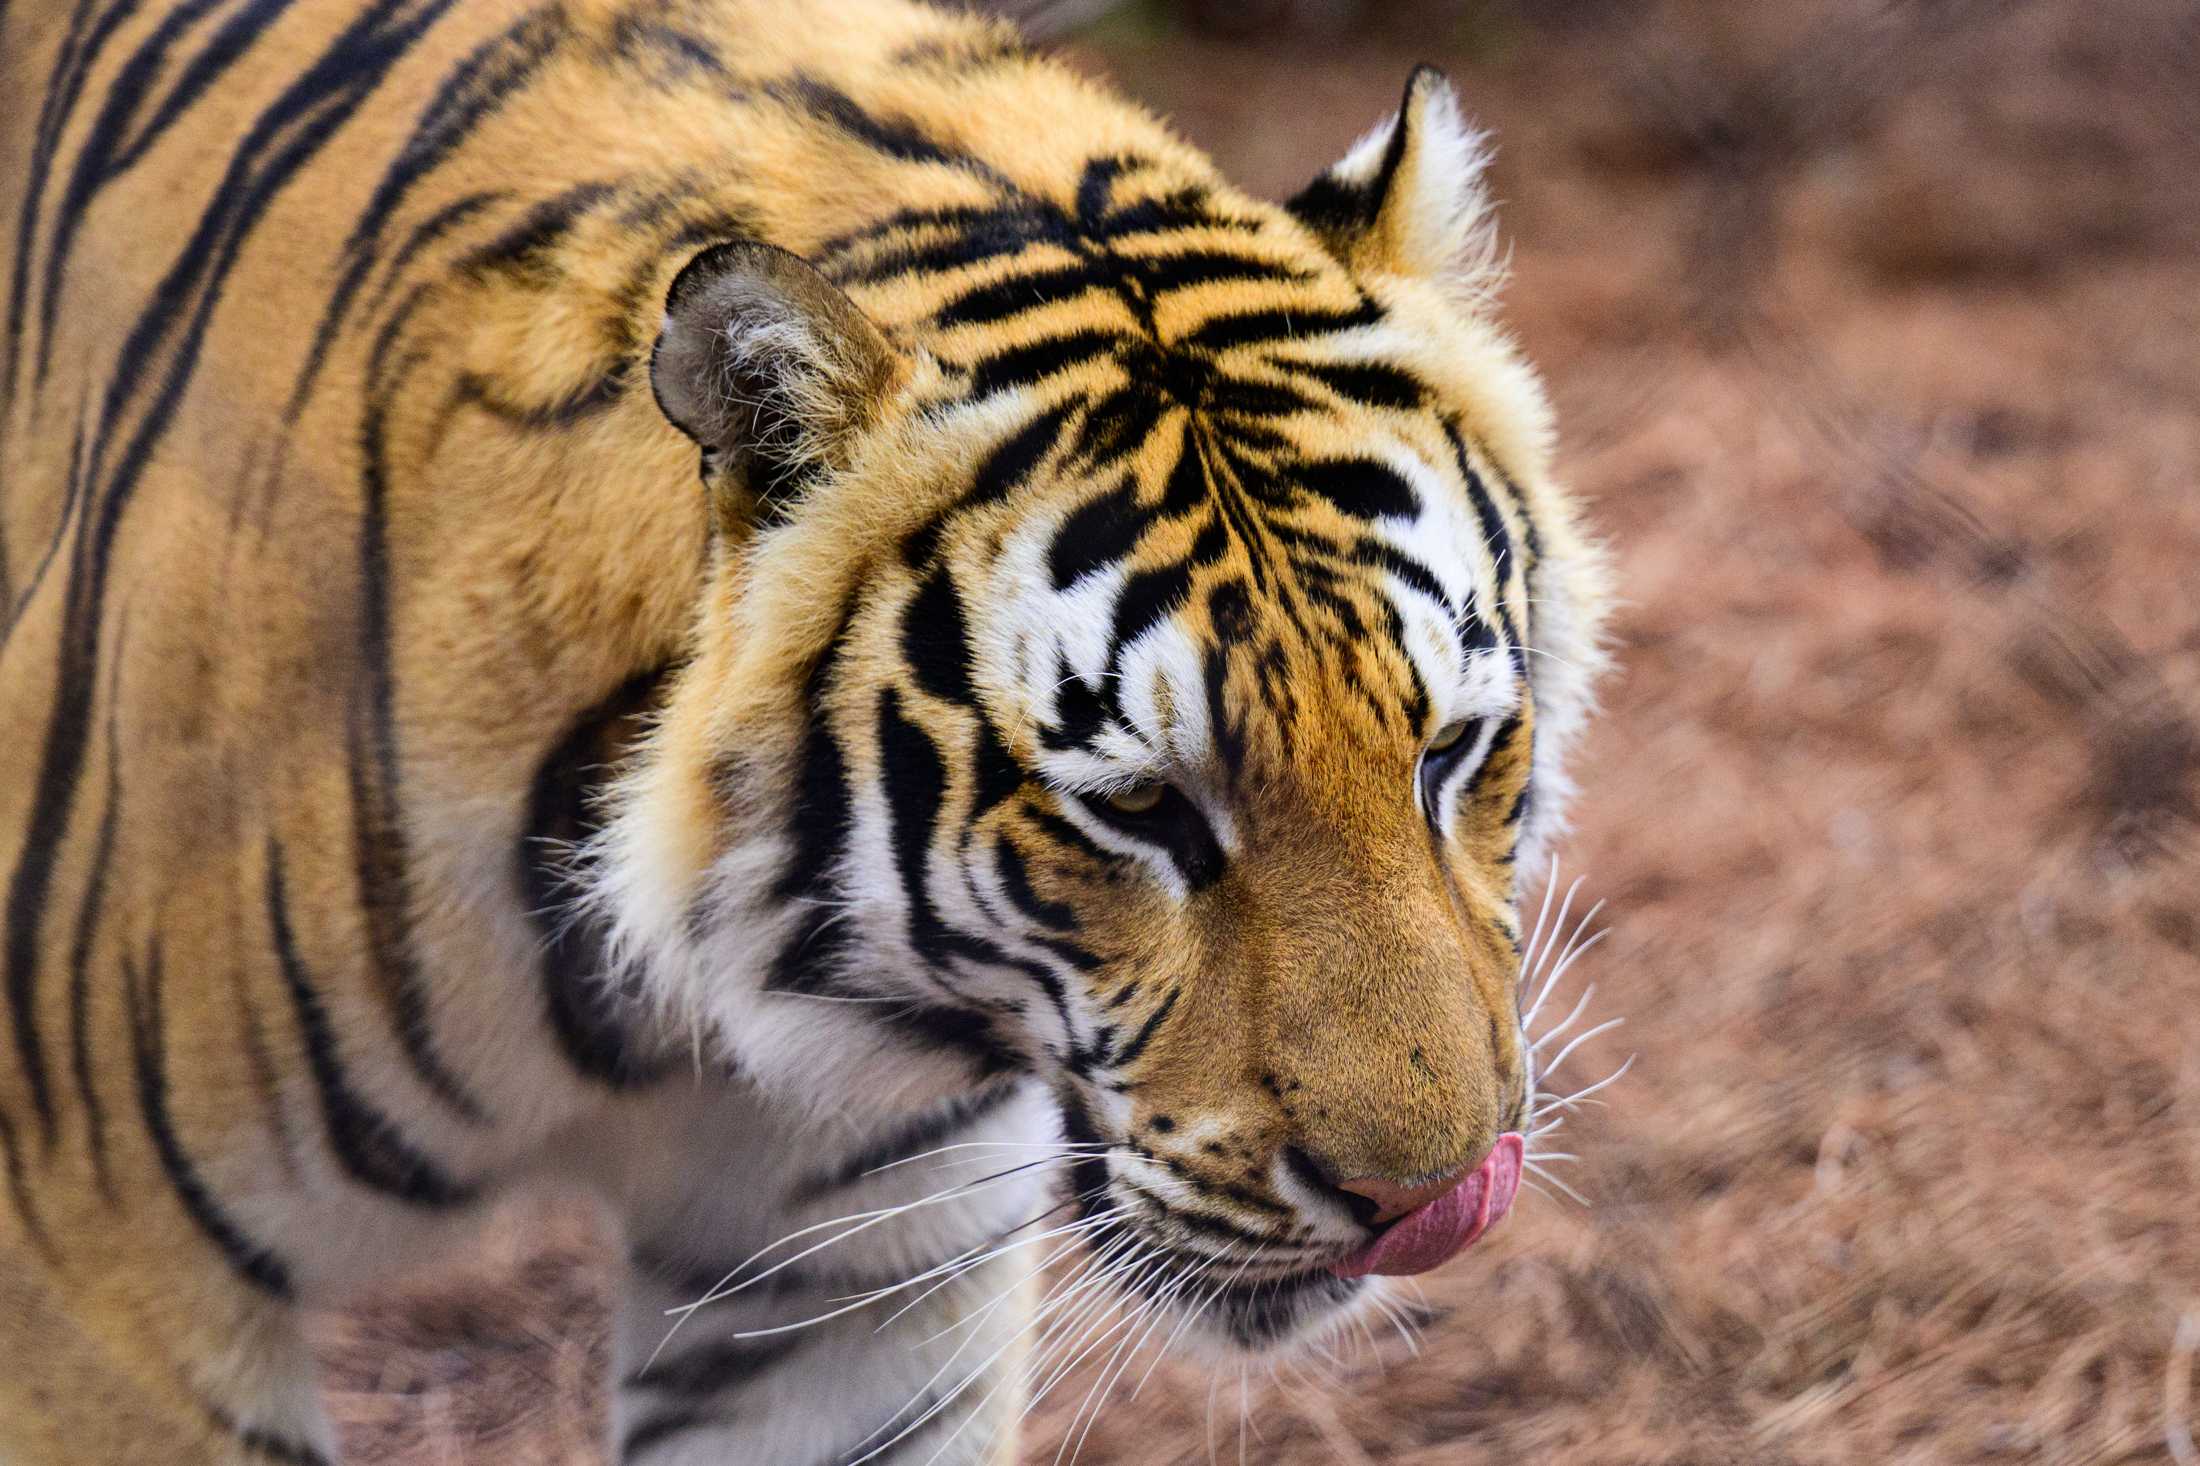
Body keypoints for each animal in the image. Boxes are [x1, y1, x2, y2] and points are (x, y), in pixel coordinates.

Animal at [0, 0, 1619, 1452]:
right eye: (1142, 809)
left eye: (1450, 750)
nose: (1428, 1201)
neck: (681, 1012)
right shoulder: (101, 1278)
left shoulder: (855, 1280)